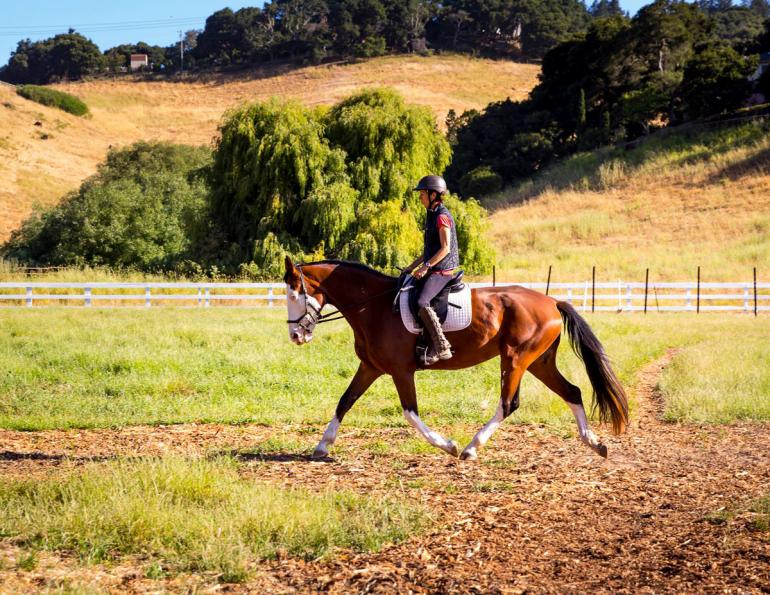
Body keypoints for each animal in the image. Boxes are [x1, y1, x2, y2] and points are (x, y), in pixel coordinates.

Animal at [283, 257, 628, 460]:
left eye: (293, 294)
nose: (296, 336)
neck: (374, 306)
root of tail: (552, 301)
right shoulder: (370, 367)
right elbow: (345, 401)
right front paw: (322, 445)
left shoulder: (400, 371)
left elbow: (410, 412)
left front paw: (446, 444)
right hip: (539, 362)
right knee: (572, 392)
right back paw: (594, 442)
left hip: (515, 359)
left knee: (509, 403)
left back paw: (470, 448)